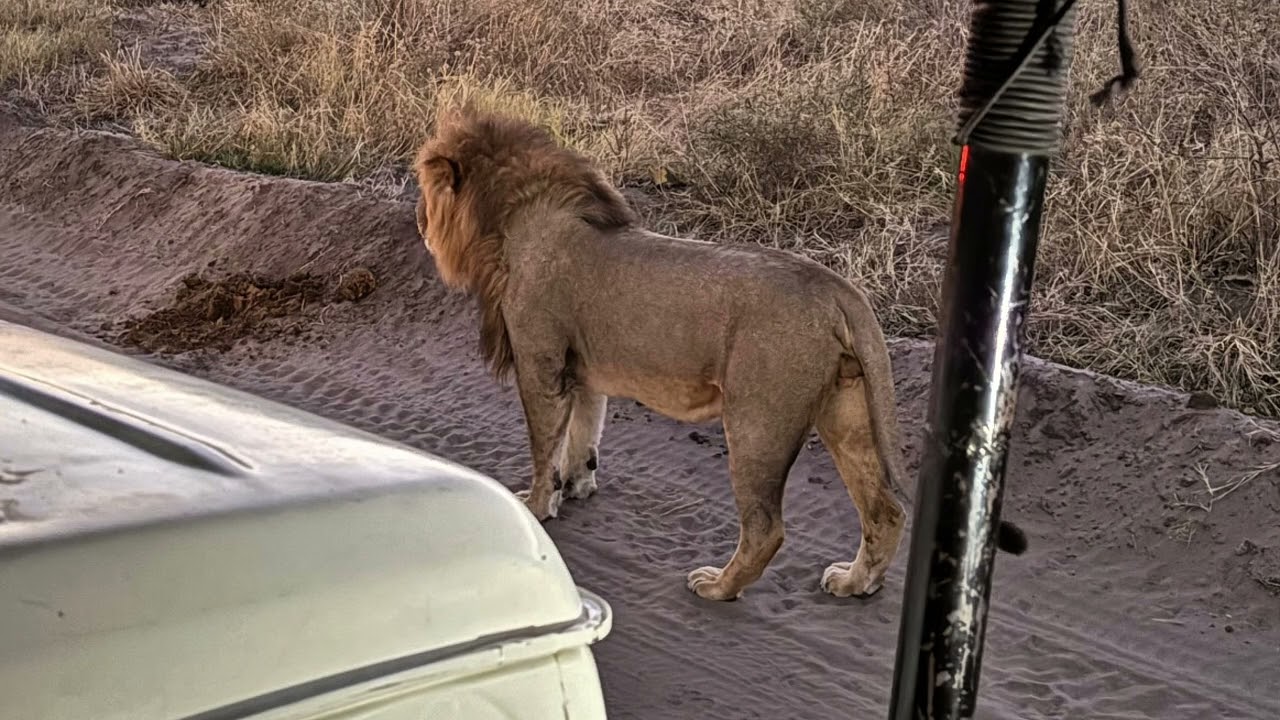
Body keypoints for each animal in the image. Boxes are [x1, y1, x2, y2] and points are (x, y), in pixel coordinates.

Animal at [412, 105, 1027, 601]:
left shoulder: (541, 365)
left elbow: (544, 448)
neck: (515, 218)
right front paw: (579, 485)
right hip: (847, 412)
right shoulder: (580, 369)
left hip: (757, 422)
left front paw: (539, 506)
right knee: (884, 509)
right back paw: (855, 583)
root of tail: (836, 287)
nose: (418, 222)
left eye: (424, 192)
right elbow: (583, 434)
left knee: (766, 528)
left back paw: (718, 587)